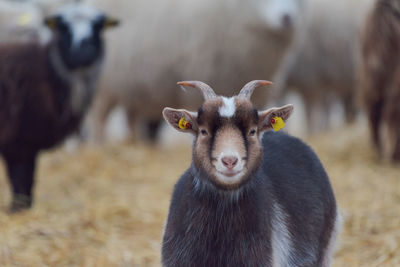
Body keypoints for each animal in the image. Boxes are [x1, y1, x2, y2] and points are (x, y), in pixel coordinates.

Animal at [0, 1, 119, 211]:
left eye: (98, 26)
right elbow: (22, 182)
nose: (83, 51)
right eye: (64, 28)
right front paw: (18, 209)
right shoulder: (19, 141)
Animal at [83, 0, 304, 144]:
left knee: (131, 118)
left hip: (134, 86)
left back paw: (134, 143)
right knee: (99, 118)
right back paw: (100, 146)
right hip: (104, 85)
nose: (287, 18)